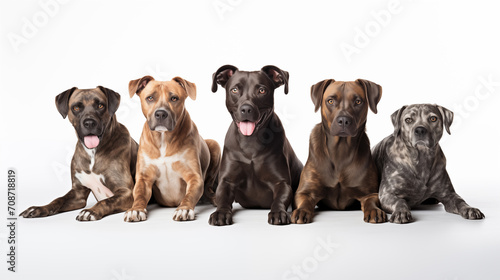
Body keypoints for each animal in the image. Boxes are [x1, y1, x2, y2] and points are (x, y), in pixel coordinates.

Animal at [124, 75, 220, 222]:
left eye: (174, 98)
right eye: (150, 98)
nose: (161, 114)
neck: (163, 139)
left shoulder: (194, 177)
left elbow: (190, 194)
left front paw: (184, 208)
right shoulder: (143, 179)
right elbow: (139, 194)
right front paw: (136, 209)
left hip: (215, 145)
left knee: (208, 187)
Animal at [208, 65, 302, 225]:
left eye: (262, 90)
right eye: (234, 90)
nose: (246, 109)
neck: (250, 142)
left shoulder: (281, 182)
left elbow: (280, 199)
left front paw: (278, 212)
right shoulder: (226, 181)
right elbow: (223, 199)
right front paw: (220, 213)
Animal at [290, 79, 386, 223]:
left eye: (358, 101)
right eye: (330, 101)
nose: (344, 120)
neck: (340, 150)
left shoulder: (369, 192)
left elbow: (371, 201)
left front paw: (374, 211)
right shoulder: (305, 191)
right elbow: (304, 201)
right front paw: (301, 211)